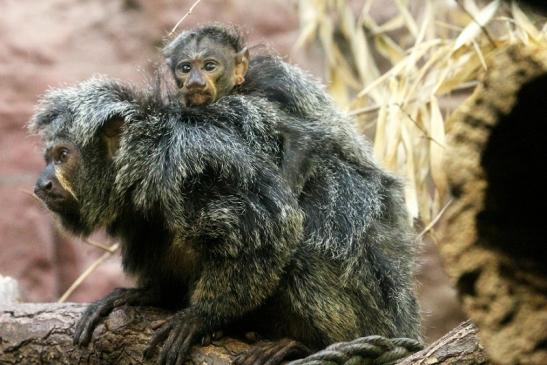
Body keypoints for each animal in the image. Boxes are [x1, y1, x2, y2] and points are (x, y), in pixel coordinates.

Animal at [31, 75, 424, 362]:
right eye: (48, 157)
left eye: (63, 155)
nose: (42, 183)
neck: (143, 157)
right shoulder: (142, 214)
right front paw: (145, 295)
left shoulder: (194, 164)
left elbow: (272, 228)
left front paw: (202, 316)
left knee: (306, 250)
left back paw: (303, 344)